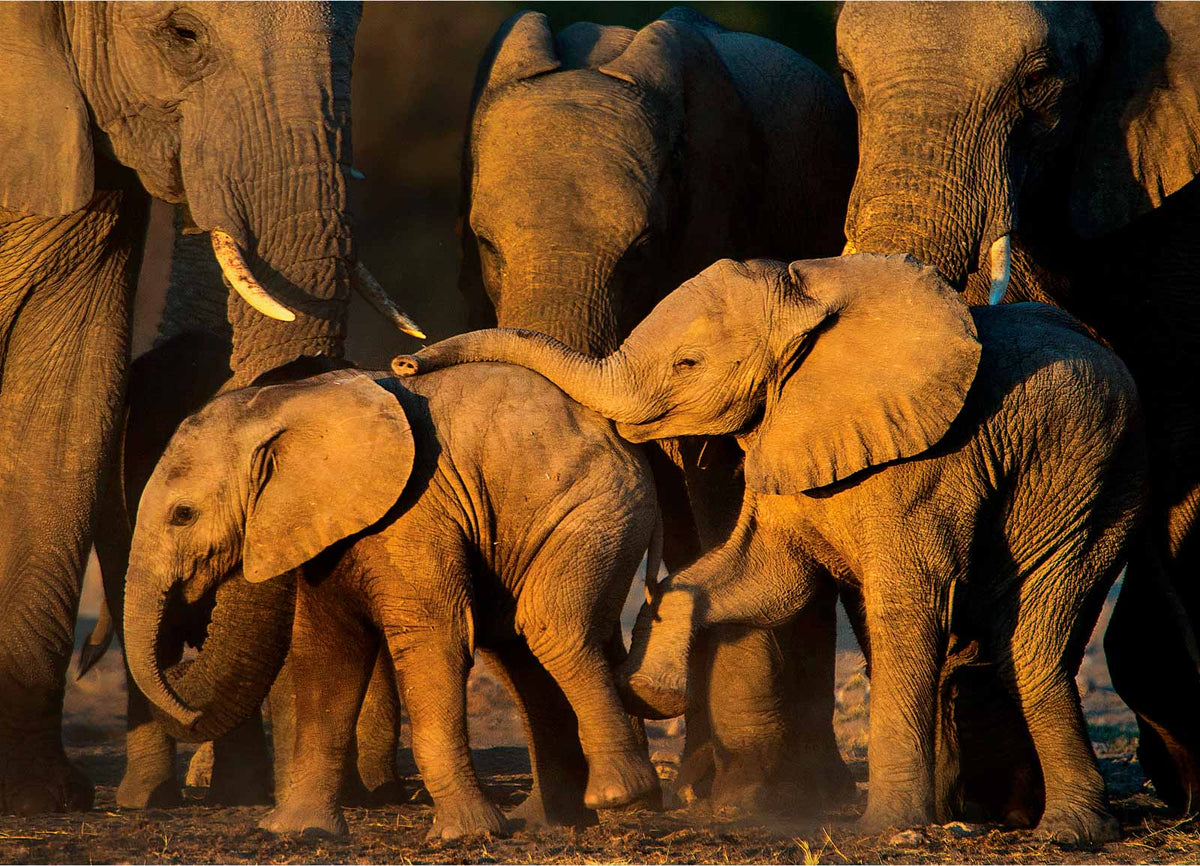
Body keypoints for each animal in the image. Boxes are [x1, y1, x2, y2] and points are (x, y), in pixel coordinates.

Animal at [123, 365, 660, 840]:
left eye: (182, 515)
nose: (177, 666)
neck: (291, 401)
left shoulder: (413, 511)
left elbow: (434, 639)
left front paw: (465, 835)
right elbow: (328, 651)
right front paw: (298, 832)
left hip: (598, 510)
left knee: (550, 627)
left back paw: (615, 796)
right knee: (517, 655)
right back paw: (548, 823)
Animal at [393, 253, 1148, 846]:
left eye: (687, 363)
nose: (403, 358)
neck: (809, 292)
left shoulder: (927, 464)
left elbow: (906, 604)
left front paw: (884, 829)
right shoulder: (786, 434)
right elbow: (766, 578)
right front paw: (647, 689)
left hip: (1095, 477)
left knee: (1032, 636)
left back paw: (1064, 831)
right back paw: (1043, 822)